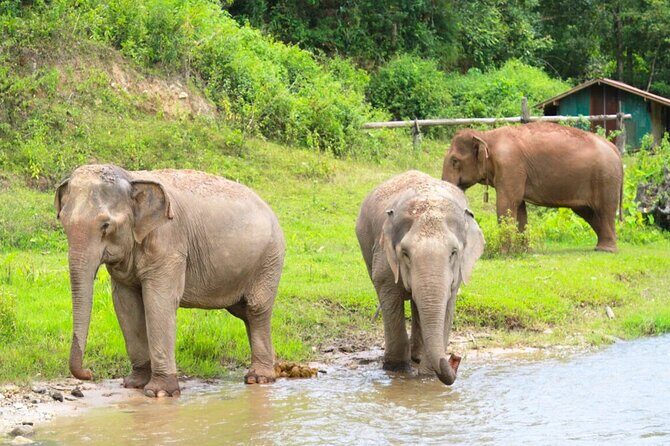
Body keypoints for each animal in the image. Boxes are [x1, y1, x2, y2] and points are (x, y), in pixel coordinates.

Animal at [55, 164, 285, 397]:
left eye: (105, 225)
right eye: (63, 222)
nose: (89, 373)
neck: (131, 178)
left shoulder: (169, 244)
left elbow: (159, 302)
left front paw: (159, 392)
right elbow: (126, 305)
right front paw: (134, 383)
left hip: (269, 259)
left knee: (256, 308)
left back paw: (259, 378)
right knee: (244, 311)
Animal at [356, 170, 484, 385]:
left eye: (453, 252)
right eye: (405, 253)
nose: (455, 358)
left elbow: (446, 303)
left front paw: (427, 376)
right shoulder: (384, 257)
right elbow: (388, 292)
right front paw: (397, 370)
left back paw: (416, 357)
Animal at [441, 122, 623, 252]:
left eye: (455, 161)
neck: (486, 136)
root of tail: (615, 148)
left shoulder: (510, 164)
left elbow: (507, 203)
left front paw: (504, 253)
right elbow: (520, 208)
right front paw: (523, 251)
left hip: (606, 178)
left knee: (605, 209)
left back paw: (607, 250)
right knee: (588, 212)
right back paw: (601, 247)